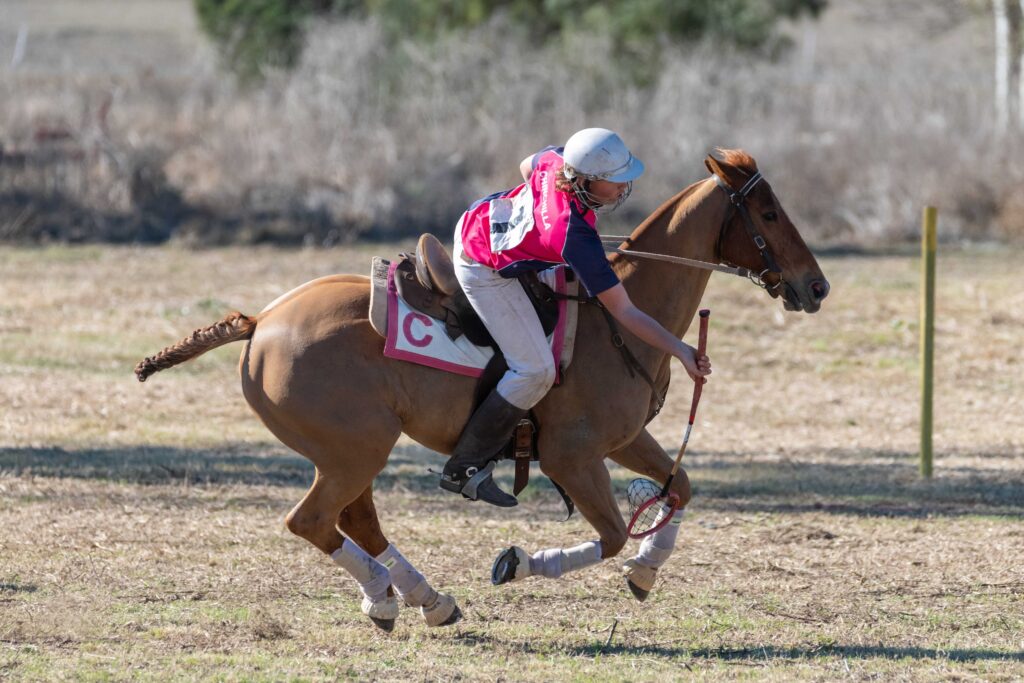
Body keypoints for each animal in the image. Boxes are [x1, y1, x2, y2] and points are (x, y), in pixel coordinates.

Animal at [136, 149, 827, 630]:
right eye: (768, 213)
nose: (816, 287)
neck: (619, 318)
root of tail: (261, 322)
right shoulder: (572, 457)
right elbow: (608, 535)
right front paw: (520, 562)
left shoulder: (625, 441)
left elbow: (679, 488)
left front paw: (645, 570)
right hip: (356, 449)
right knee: (314, 520)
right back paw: (401, 595)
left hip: (349, 452)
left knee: (355, 519)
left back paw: (418, 599)